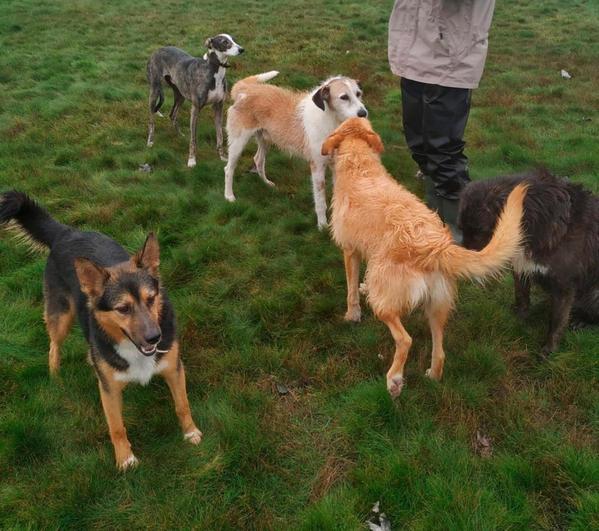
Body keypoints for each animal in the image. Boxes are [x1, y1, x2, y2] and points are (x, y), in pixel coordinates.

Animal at [0, 191, 203, 470]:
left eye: (151, 299)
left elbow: (182, 404)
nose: (155, 337)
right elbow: (116, 427)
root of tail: (66, 232)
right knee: (54, 346)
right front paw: (125, 459)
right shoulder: (109, 390)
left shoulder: (173, 369)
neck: (134, 348)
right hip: (61, 317)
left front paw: (190, 432)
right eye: (123, 308)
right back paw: (55, 375)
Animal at [224, 71, 368, 230]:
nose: (363, 113)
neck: (331, 119)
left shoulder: (336, 164)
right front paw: (322, 225)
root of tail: (246, 90)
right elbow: (320, 201)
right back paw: (229, 196)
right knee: (229, 169)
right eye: (344, 97)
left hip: (266, 139)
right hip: (238, 143)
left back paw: (267, 183)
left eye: (358, 93)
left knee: (258, 160)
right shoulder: (317, 167)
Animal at [460, 168, 599, 356]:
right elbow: (521, 296)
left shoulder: (563, 285)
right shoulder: (521, 267)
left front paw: (548, 350)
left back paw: (583, 322)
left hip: (594, 293)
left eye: (480, 231)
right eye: (461, 229)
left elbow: (556, 321)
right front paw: (518, 319)